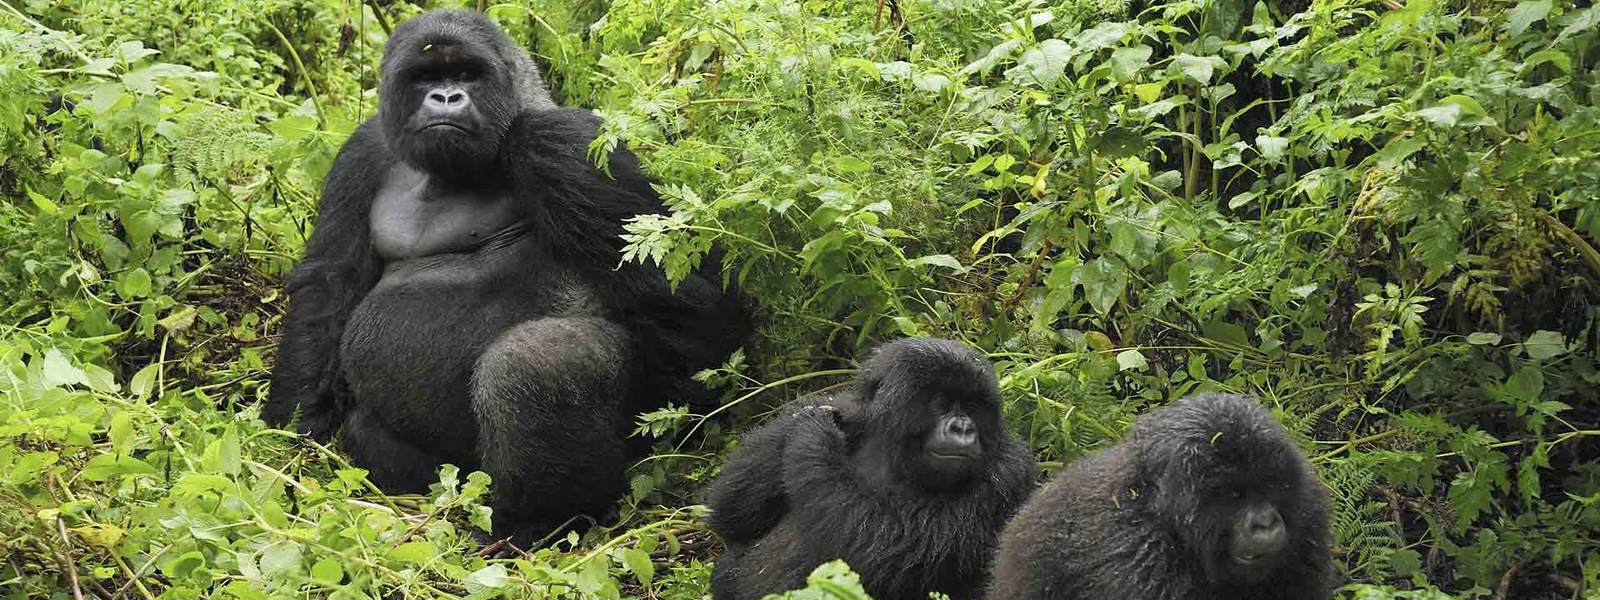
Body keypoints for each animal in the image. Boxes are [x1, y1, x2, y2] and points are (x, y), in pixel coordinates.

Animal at [264, 9, 748, 544]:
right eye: (425, 78)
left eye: (467, 74)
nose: (447, 98)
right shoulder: (363, 150)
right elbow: (329, 284)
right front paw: (294, 427)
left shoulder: (561, 141)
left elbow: (694, 306)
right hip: (454, 474)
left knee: (536, 362)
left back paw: (534, 525)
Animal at [707, 339, 1030, 600]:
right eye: (942, 402)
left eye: (973, 407)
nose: (963, 428)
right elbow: (730, 514)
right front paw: (818, 420)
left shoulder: (1009, 471)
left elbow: (882, 544)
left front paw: (813, 431)